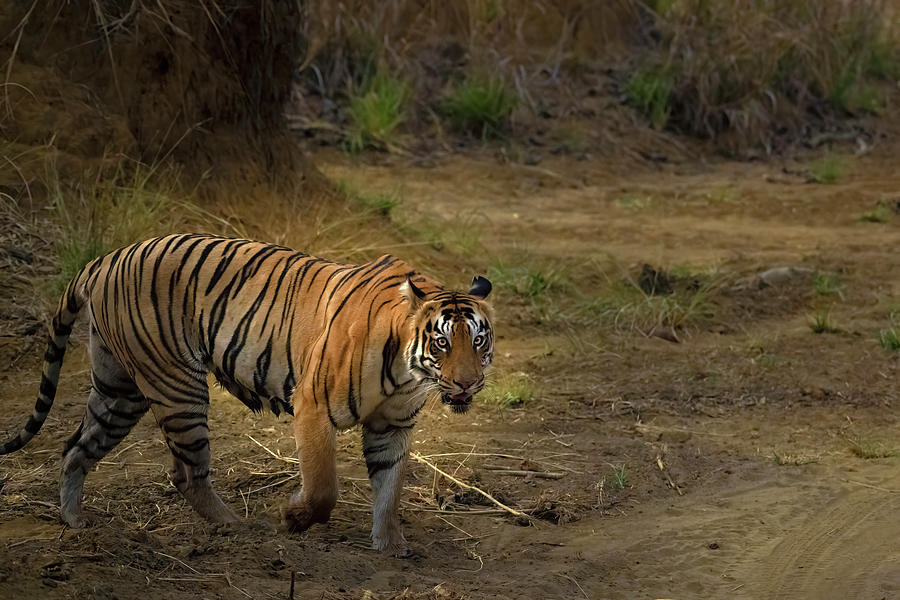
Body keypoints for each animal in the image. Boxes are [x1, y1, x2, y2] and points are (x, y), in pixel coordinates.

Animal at [0, 232, 492, 556]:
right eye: (442, 342)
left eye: (479, 341)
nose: (467, 383)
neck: (410, 373)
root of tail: (107, 258)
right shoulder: (313, 407)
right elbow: (323, 489)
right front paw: (292, 517)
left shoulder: (393, 425)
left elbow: (389, 490)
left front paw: (390, 544)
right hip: (177, 387)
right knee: (186, 472)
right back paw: (236, 527)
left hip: (120, 391)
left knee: (75, 448)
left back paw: (76, 521)